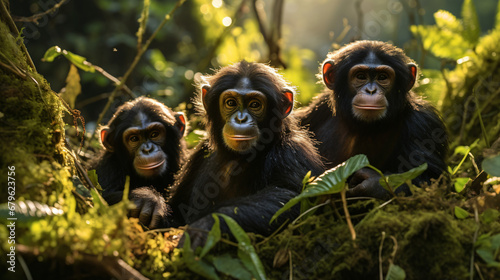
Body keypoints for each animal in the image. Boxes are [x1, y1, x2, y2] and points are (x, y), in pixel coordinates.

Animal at [168, 59, 324, 247]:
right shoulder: (200, 152)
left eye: (255, 104)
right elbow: (175, 210)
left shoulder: (294, 152)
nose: (241, 119)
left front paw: (207, 225)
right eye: (230, 103)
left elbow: (293, 197)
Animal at [296, 40, 450, 200]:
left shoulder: (424, 123)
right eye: (360, 76)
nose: (371, 90)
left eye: (382, 77)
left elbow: (431, 179)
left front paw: (374, 182)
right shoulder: (319, 106)